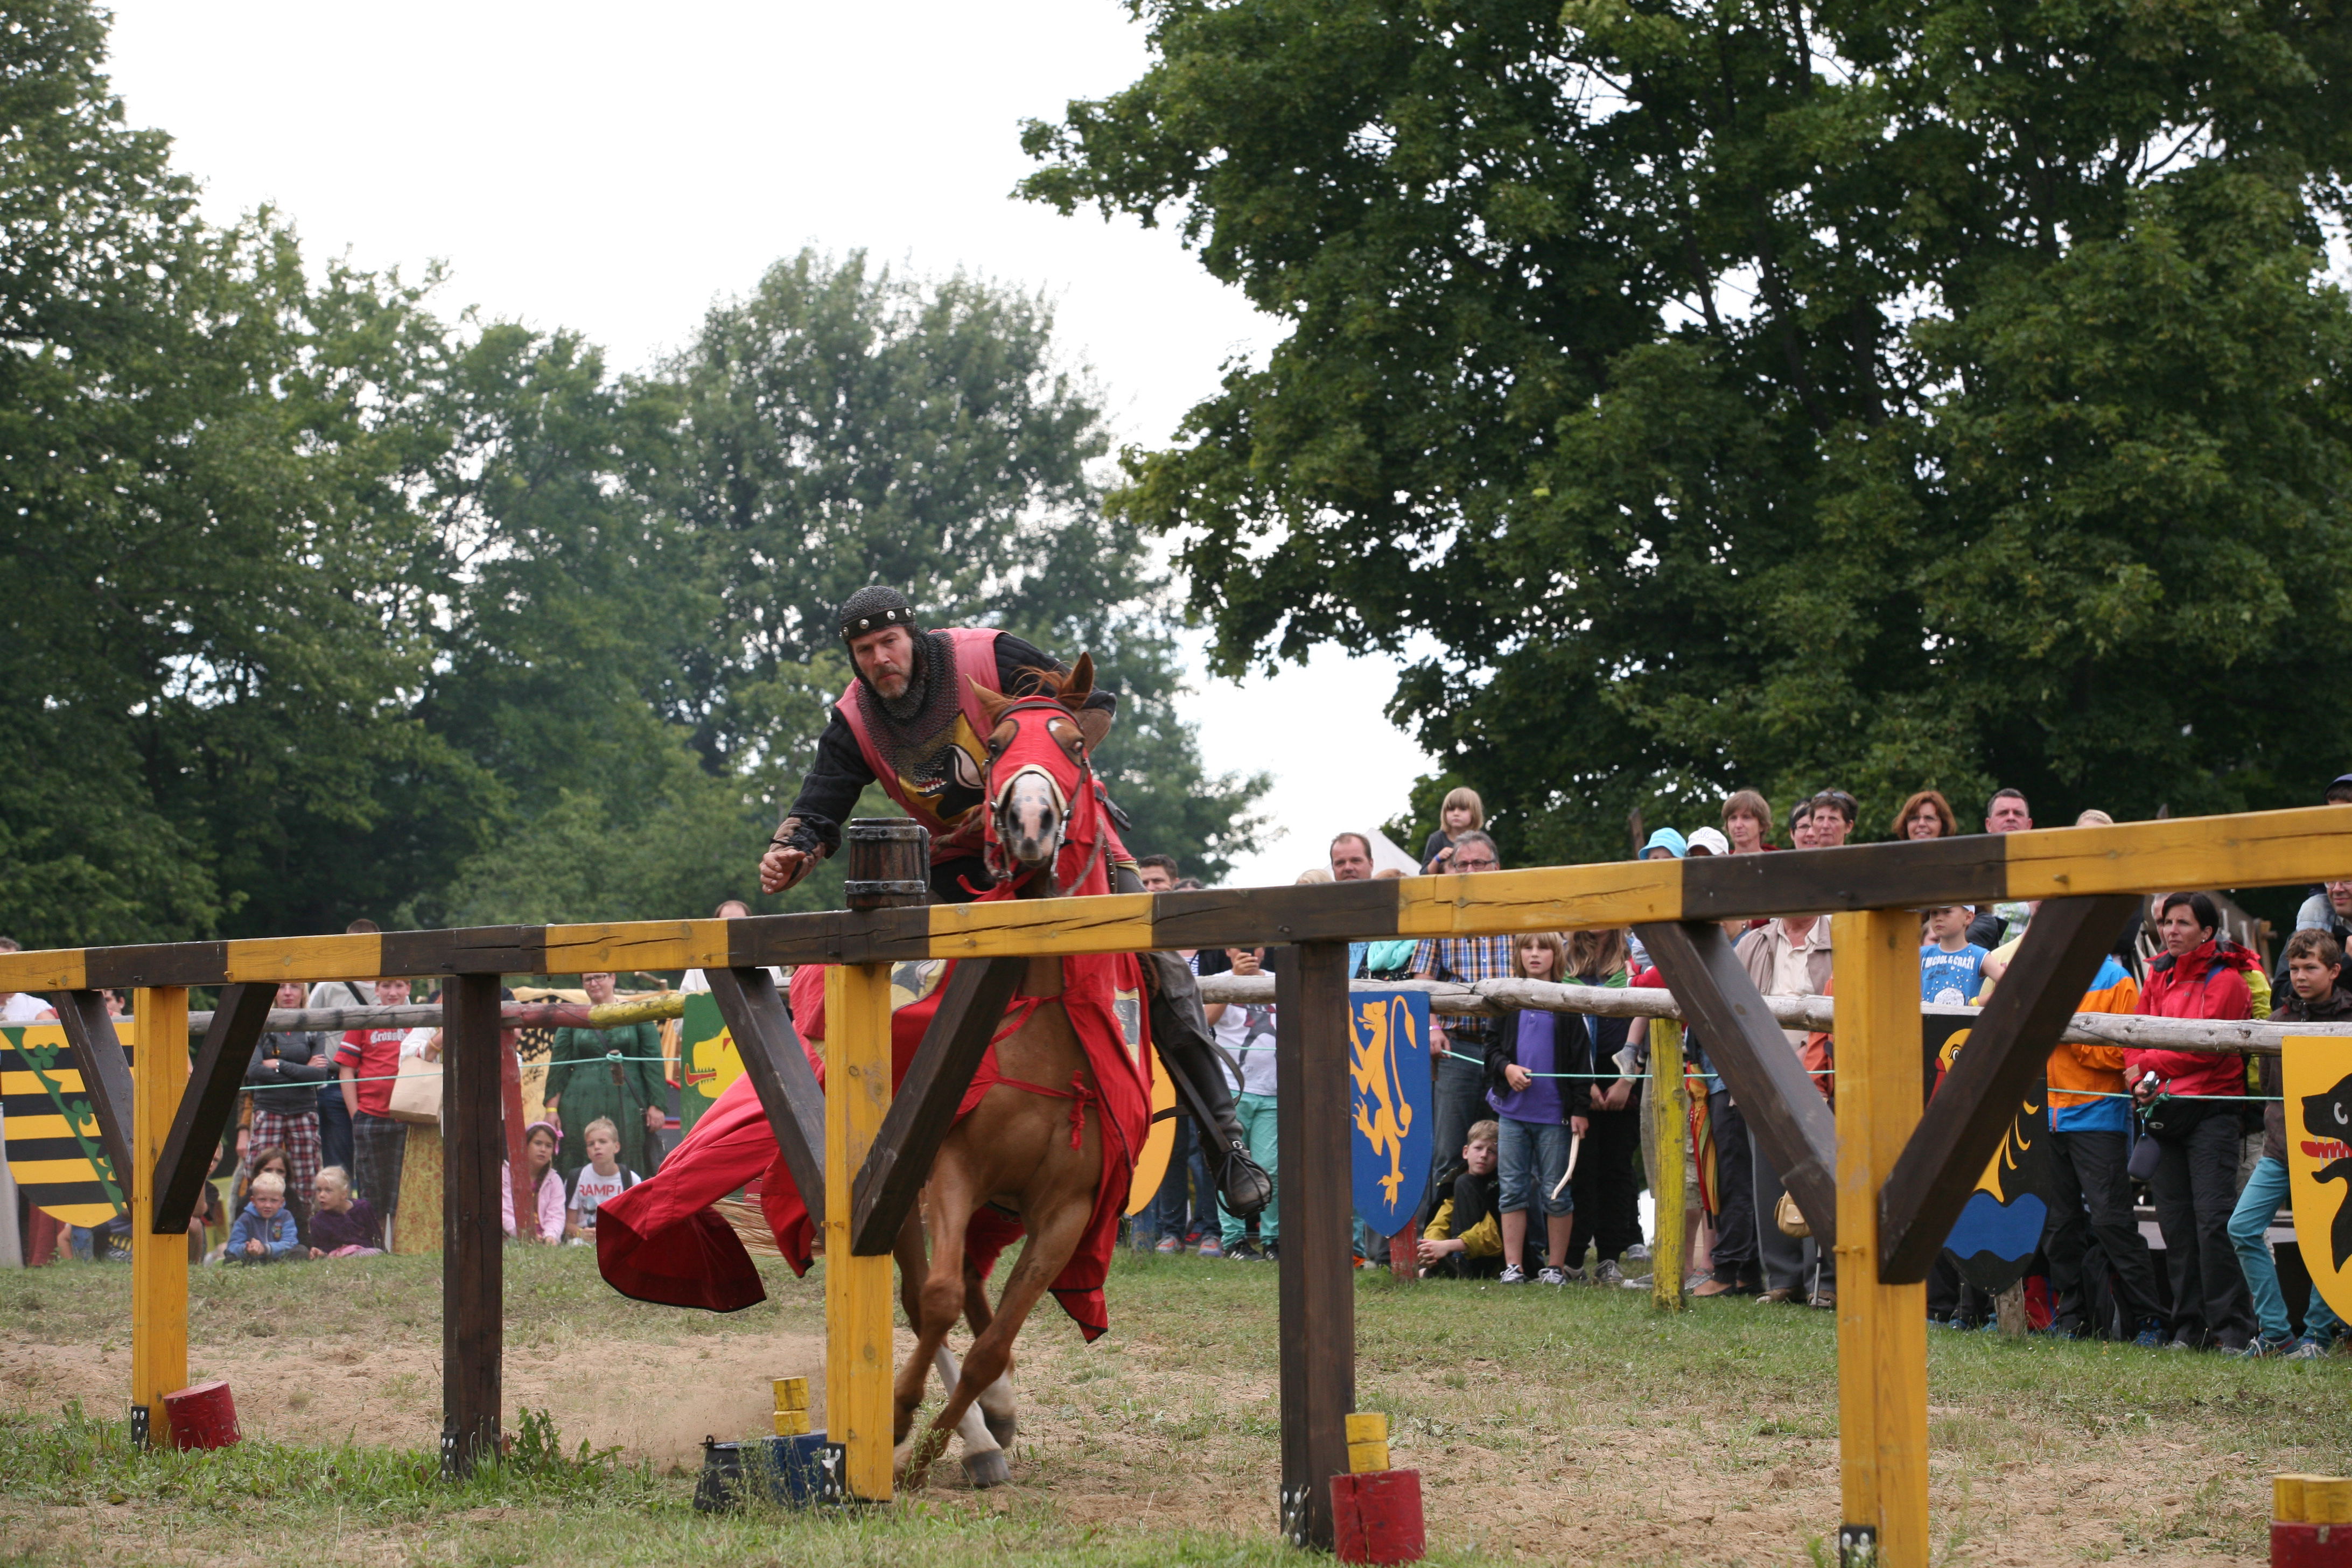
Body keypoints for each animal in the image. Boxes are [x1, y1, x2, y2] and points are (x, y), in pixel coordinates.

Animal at [888, 653, 1147, 1488]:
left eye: (1075, 744)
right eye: (998, 745)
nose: (1029, 824)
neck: (1047, 1031)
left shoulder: (1067, 1214)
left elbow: (992, 1340)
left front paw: (946, 1441)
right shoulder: (950, 1166)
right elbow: (937, 1299)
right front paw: (904, 1419)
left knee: (977, 1299)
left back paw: (992, 1419)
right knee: (927, 1290)